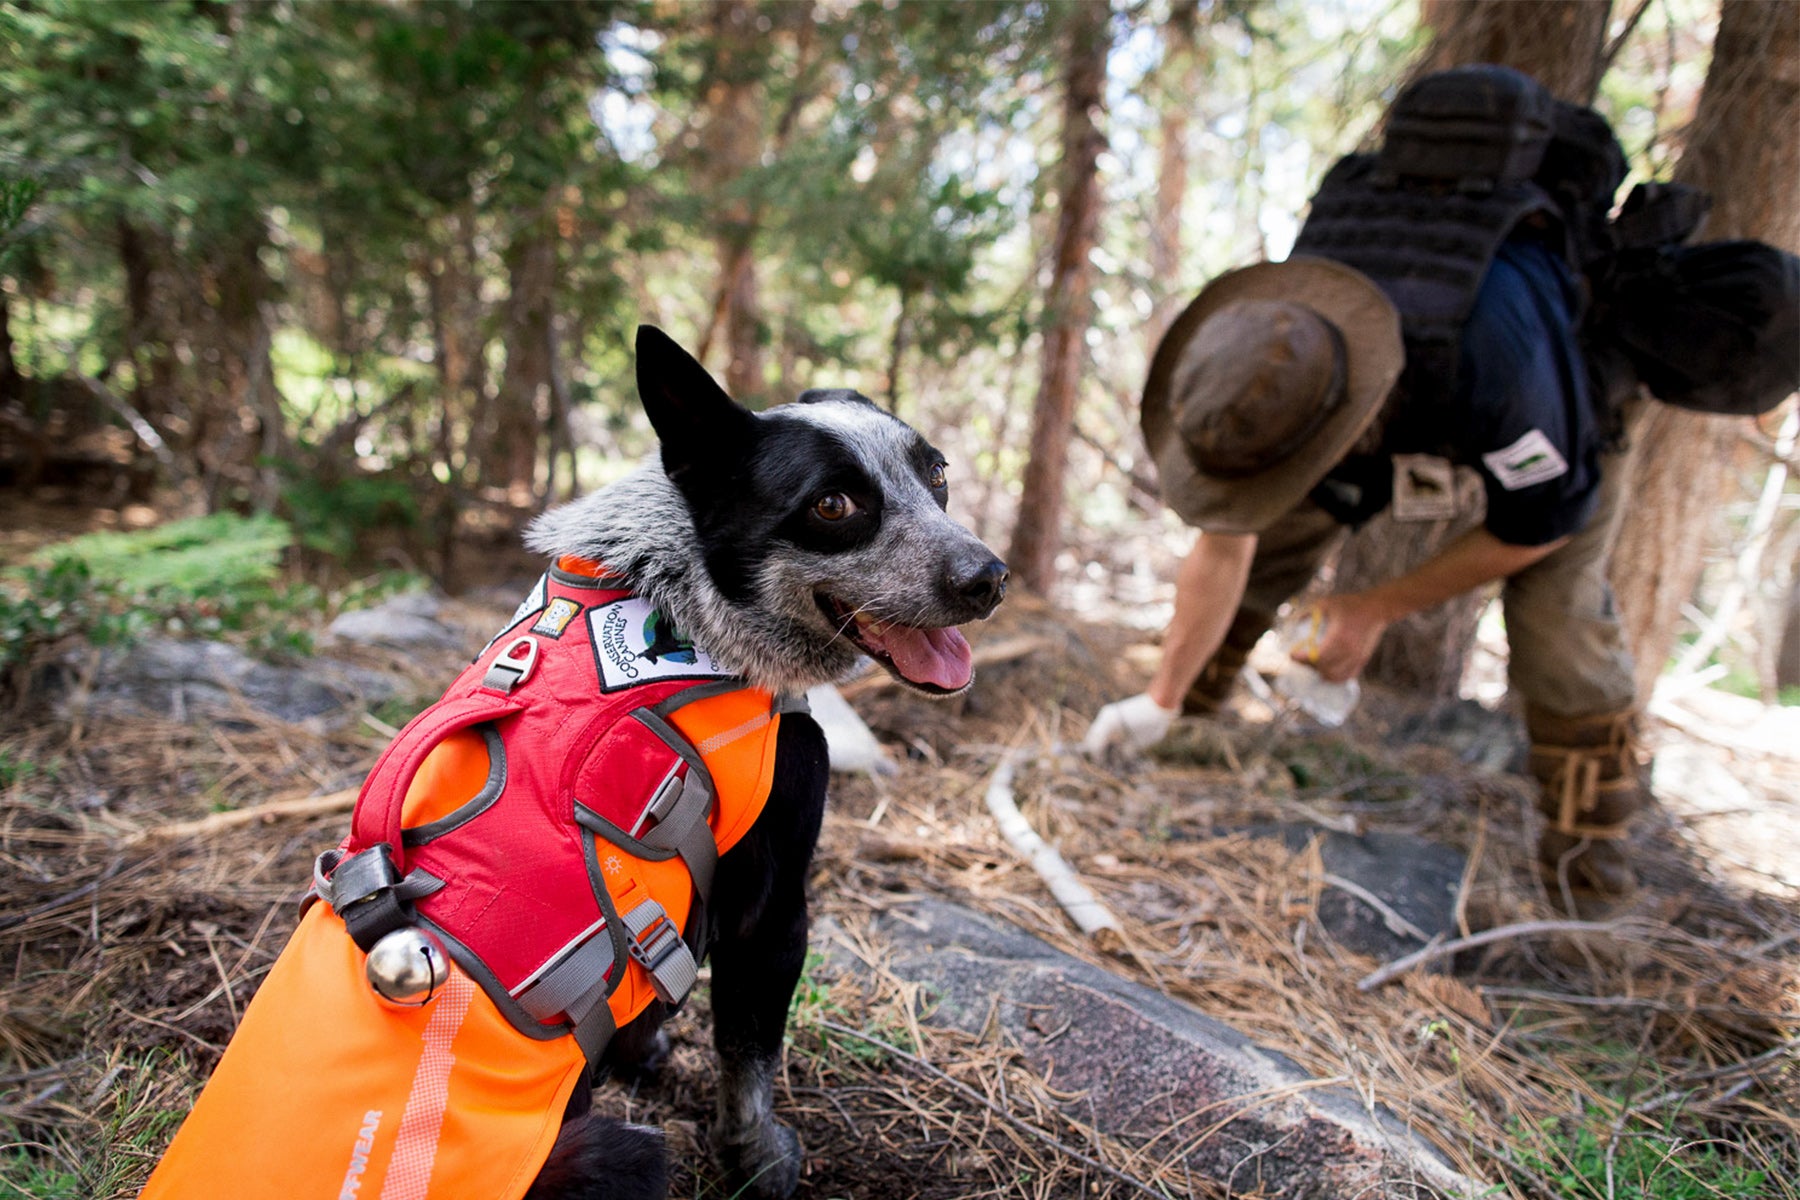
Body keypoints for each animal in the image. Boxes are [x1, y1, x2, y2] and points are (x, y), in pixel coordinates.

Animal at [518, 329, 1015, 1200]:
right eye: (833, 505)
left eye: (937, 475)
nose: (989, 578)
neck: (683, 598)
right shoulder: (775, 904)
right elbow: (748, 1052)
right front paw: (759, 1157)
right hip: (621, 1156)